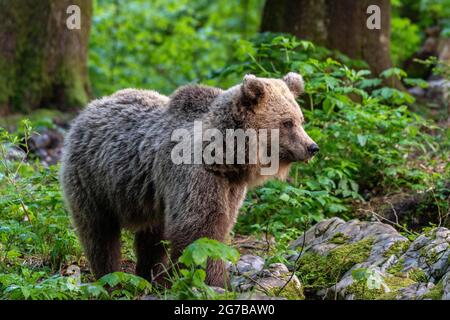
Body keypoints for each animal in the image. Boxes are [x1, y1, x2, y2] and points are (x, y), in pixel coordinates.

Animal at [59, 73, 318, 288]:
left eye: (301, 119)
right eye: (287, 122)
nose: (312, 147)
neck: (226, 157)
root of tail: (89, 108)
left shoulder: (229, 187)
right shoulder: (196, 177)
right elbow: (200, 229)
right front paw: (216, 282)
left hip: (151, 198)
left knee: (152, 237)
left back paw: (151, 277)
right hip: (92, 180)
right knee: (99, 232)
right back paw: (110, 277)